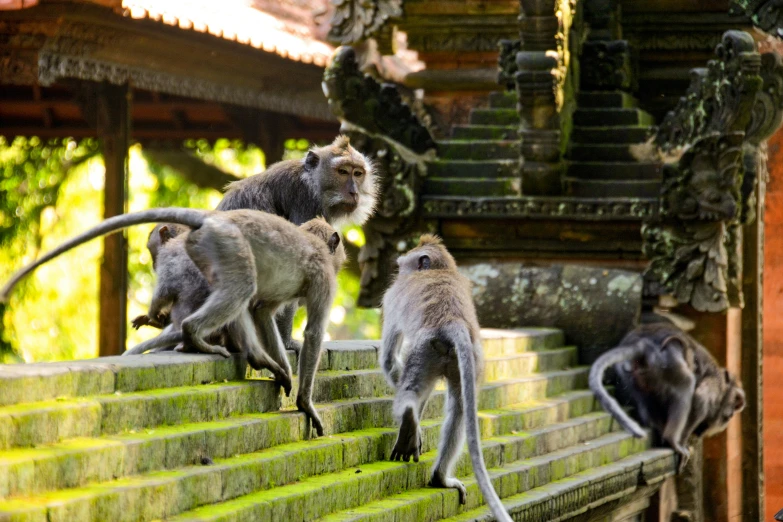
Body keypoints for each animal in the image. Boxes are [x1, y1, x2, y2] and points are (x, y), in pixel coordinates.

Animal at [1, 207, 346, 434]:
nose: (342, 262)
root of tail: (209, 219)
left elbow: (261, 311)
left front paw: (284, 370)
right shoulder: (324, 277)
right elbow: (313, 333)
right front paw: (305, 402)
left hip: (211, 251)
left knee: (241, 294)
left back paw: (257, 357)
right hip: (228, 244)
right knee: (242, 287)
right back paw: (196, 336)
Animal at [382, 234, 516, 520]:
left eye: (402, 266)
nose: (398, 272)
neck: (442, 270)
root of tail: (452, 321)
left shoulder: (391, 297)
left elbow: (388, 360)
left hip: (423, 351)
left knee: (410, 389)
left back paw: (408, 418)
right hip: (468, 362)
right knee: (460, 412)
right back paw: (441, 478)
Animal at [588, 322, 748, 470]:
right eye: (735, 403)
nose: (732, 414)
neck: (723, 384)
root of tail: (640, 343)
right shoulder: (713, 387)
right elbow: (700, 400)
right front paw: (683, 443)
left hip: (628, 372)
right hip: (667, 360)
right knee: (686, 382)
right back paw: (671, 440)